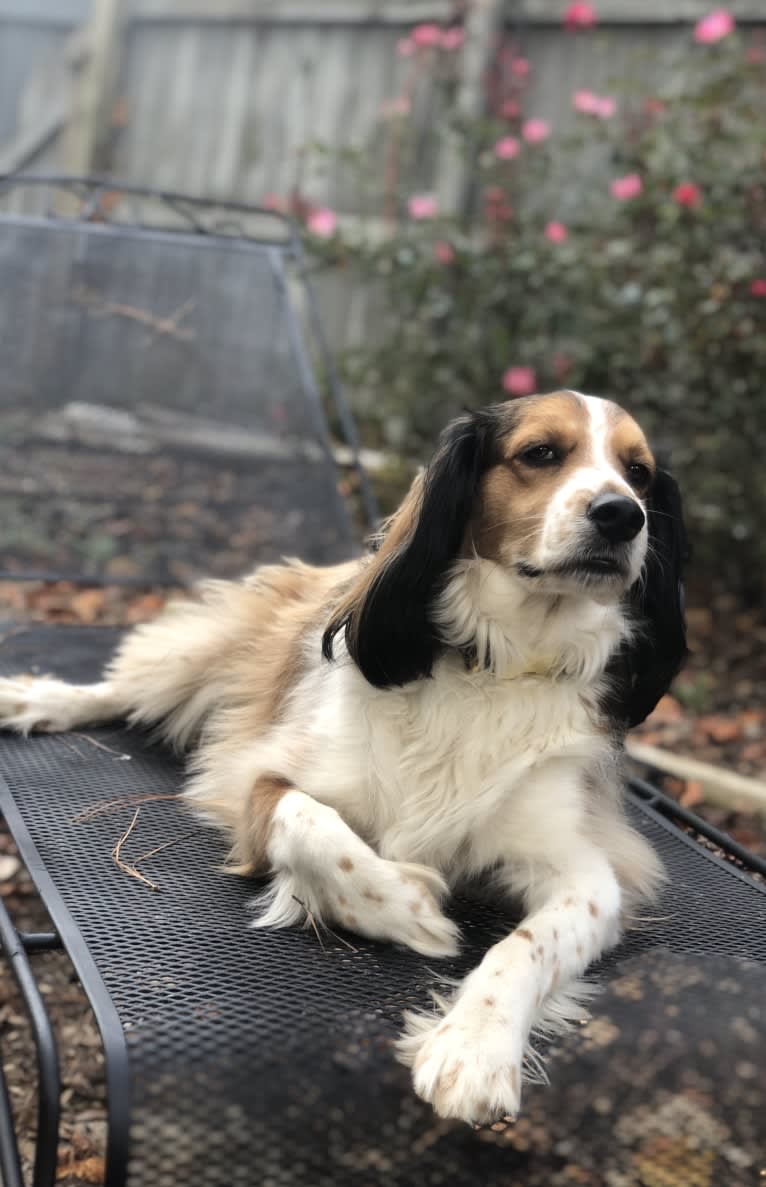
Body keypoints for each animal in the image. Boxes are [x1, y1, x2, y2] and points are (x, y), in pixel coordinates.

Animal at [0, 394, 688, 1125]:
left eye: (639, 473)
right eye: (541, 453)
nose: (623, 514)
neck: (501, 662)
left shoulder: (591, 871)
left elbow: (531, 946)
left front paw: (475, 1043)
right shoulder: (260, 777)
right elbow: (315, 829)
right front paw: (410, 909)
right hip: (190, 662)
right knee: (120, 689)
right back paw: (34, 700)